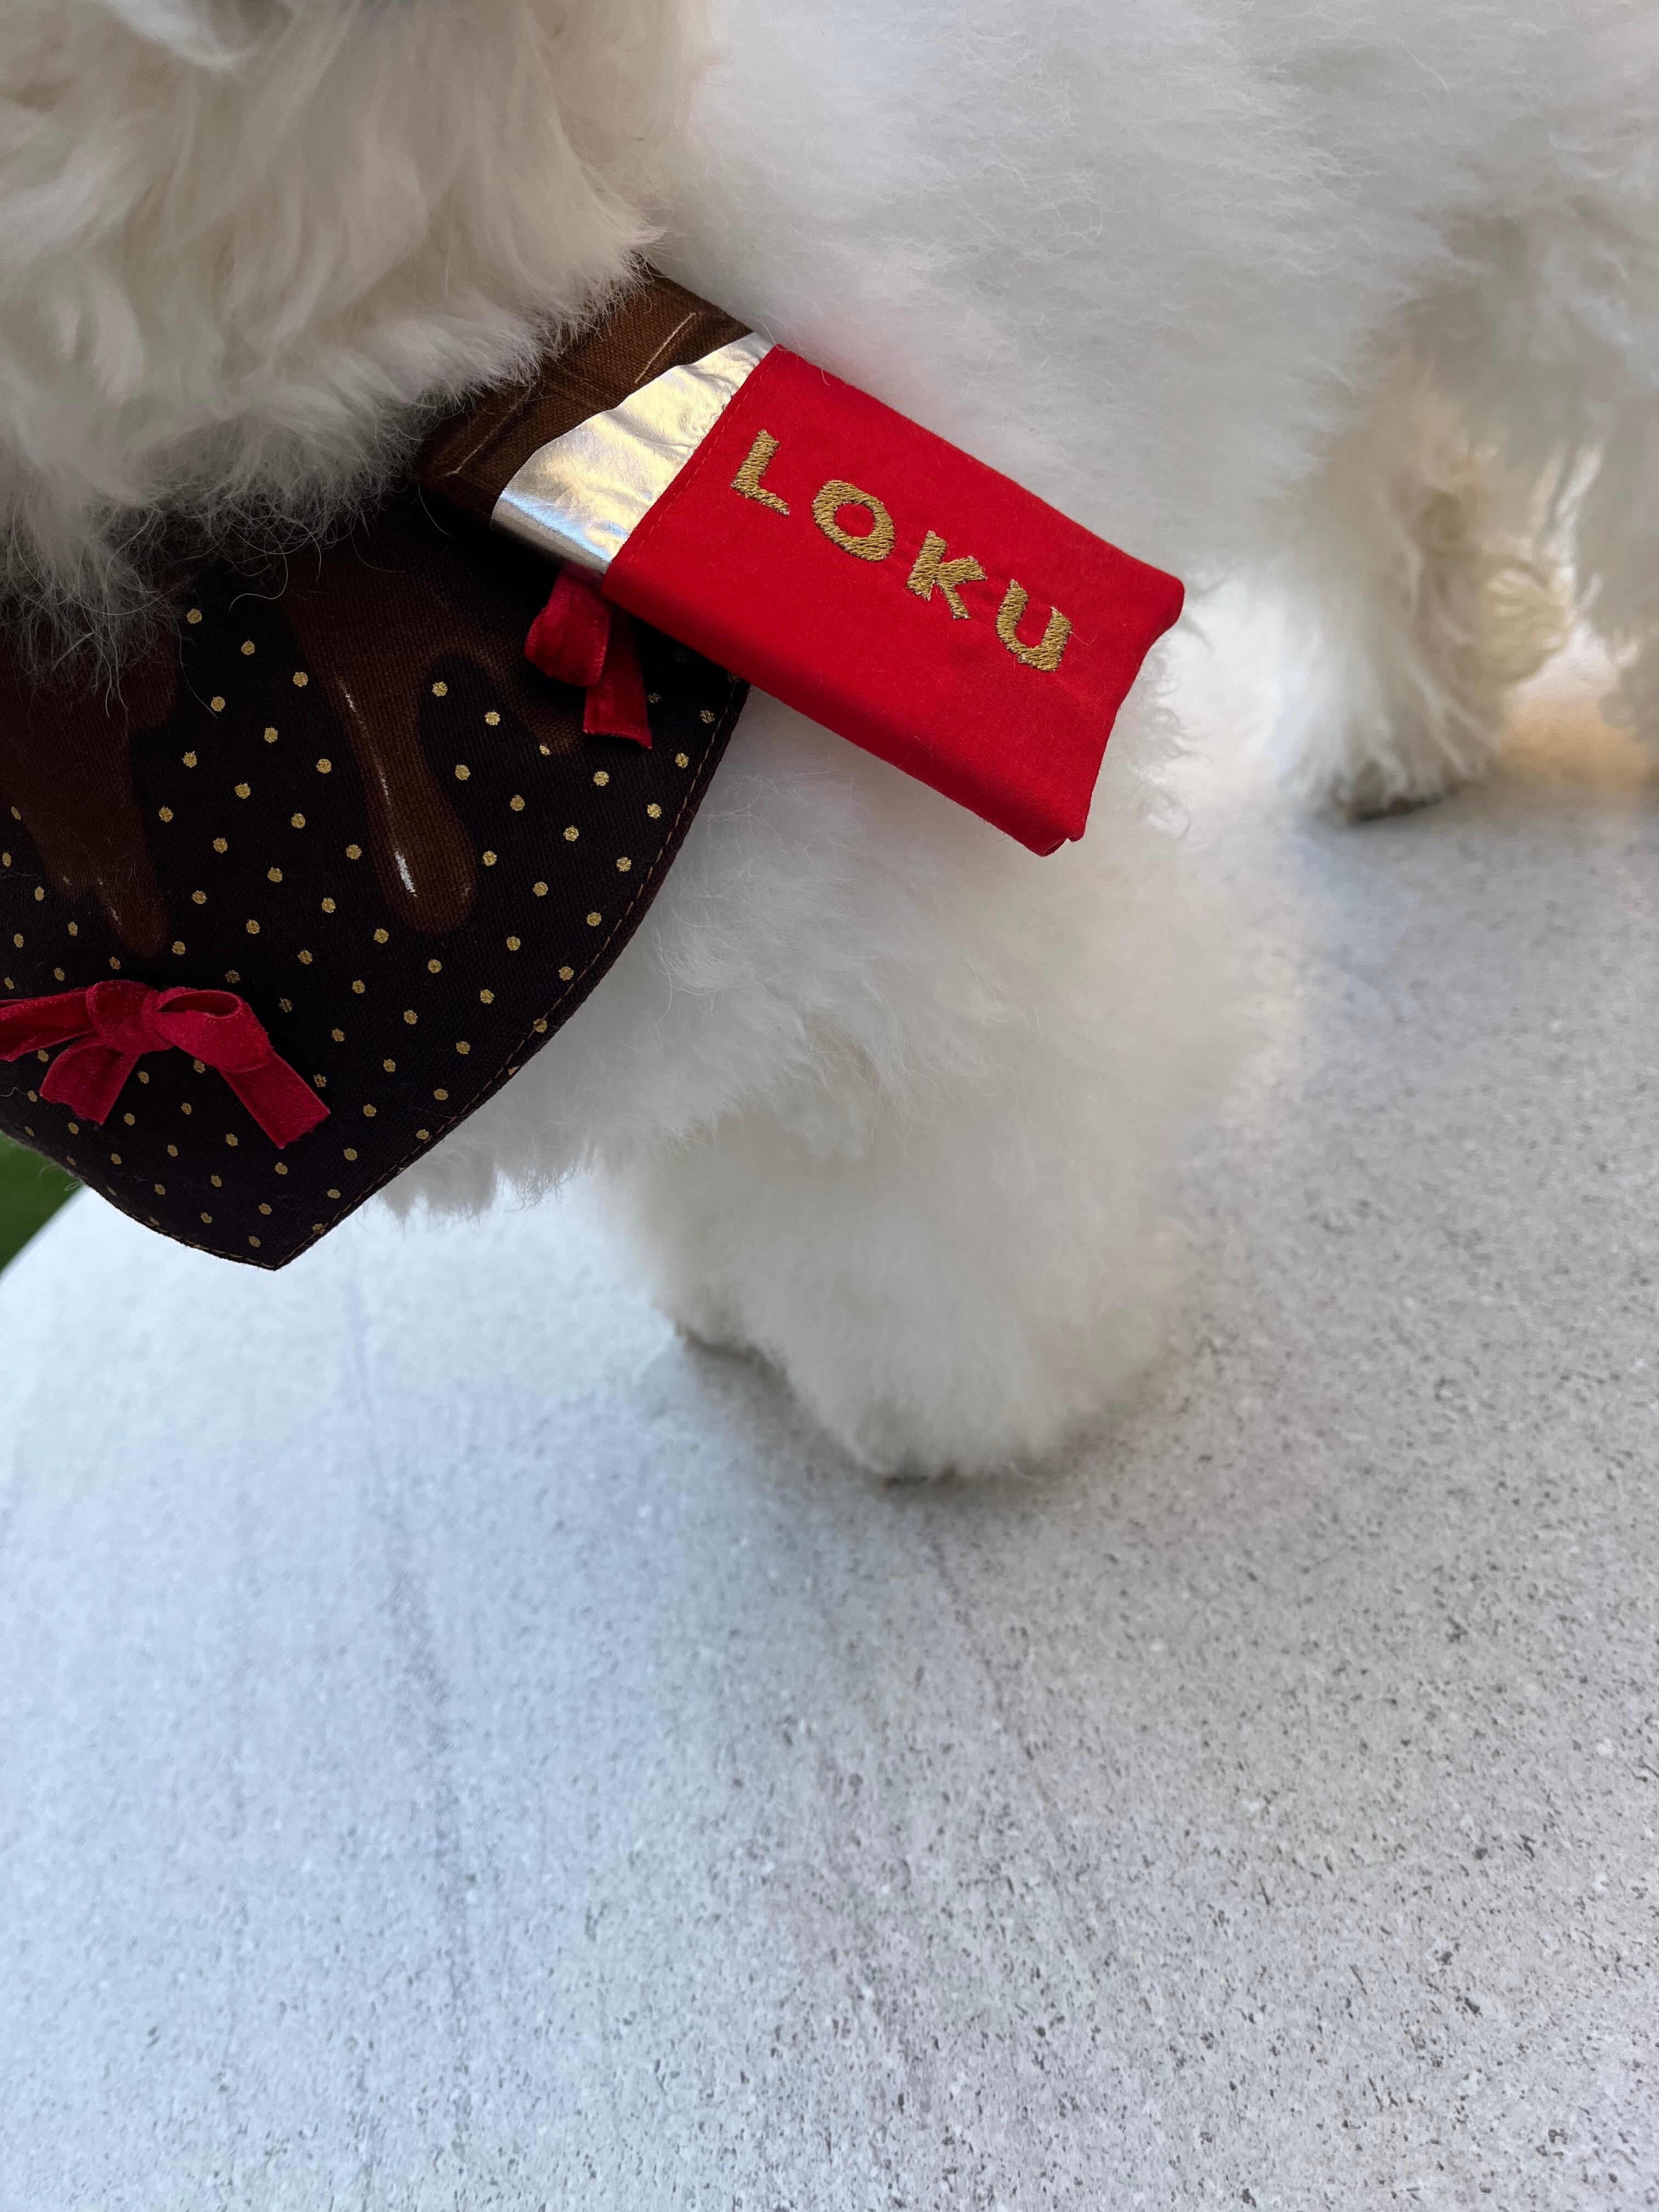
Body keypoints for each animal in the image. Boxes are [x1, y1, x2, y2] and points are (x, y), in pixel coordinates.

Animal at [2, 0, 1652, 1473]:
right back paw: (1395, 725)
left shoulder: (906, 938)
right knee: (1381, 463)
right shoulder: (654, 954)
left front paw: (968, 1410)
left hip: (1575, 189)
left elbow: (930, 1206)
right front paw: (730, 1289)